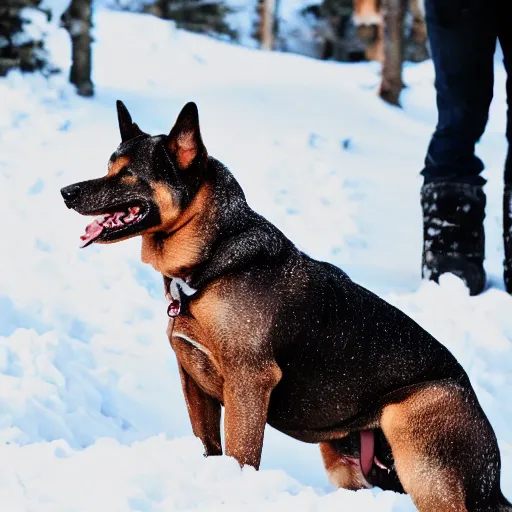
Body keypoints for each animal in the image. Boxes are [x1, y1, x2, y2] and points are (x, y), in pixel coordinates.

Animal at [62, 102, 510, 510]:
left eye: (128, 173)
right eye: (108, 166)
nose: (67, 192)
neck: (209, 262)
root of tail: (492, 479)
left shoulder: (249, 382)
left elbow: (241, 455)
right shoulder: (193, 380)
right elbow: (208, 446)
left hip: (416, 440)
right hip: (350, 461)